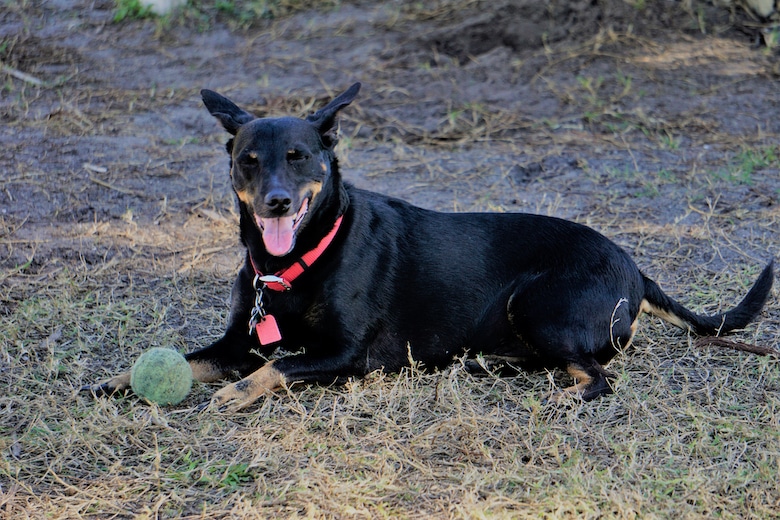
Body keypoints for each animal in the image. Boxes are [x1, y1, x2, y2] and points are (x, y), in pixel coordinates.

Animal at [87, 83, 772, 412]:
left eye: (300, 156)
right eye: (249, 160)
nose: (277, 202)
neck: (294, 262)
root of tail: (634, 267)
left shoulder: (349, 355)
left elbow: (275, 368)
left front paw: (235, 393)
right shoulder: (237, 342)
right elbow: (192, 357)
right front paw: (118, 381)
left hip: (538, 303)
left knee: (598, 376)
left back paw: (561, 396)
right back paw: (487, 364)